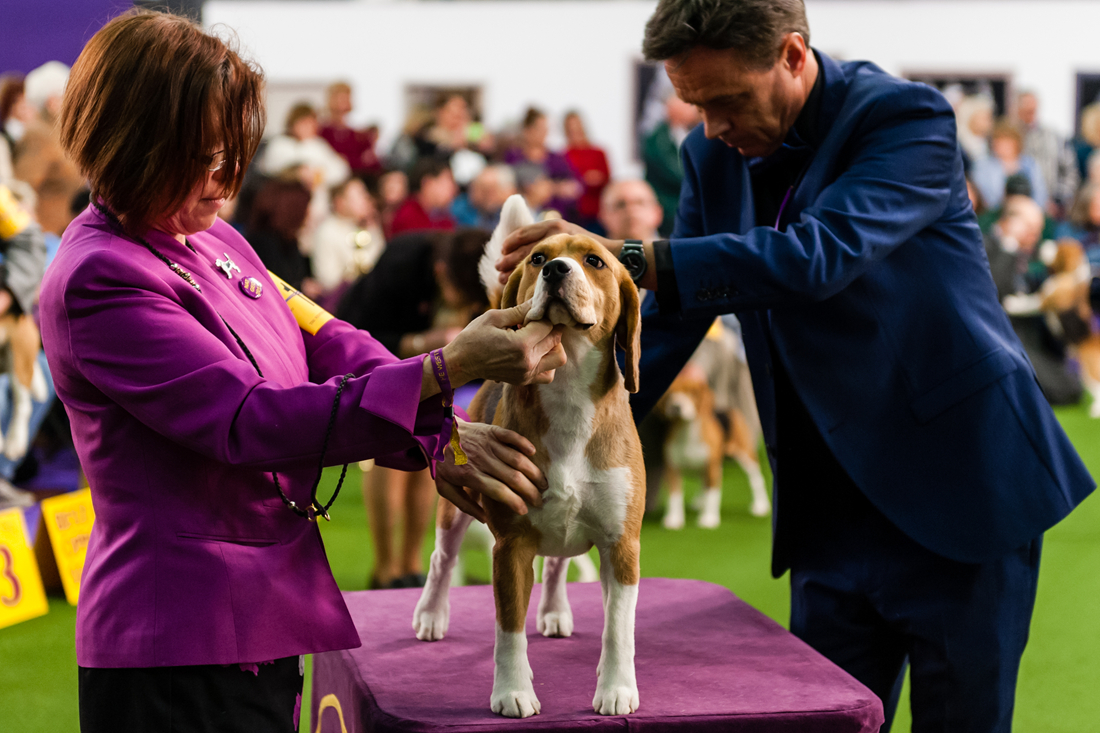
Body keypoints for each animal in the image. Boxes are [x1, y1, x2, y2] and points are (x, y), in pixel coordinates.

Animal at [413, 193, 642, 713]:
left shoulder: (622, 545)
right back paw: (431, 614)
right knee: (442, 561)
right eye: (538, 258)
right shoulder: (511, 544)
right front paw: (513, 692)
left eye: (594, 261)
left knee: (557, 563)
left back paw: (555, 610)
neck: (570, 390)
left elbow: (618, 629)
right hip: (454, 517)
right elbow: (508, 629)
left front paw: (617, 689)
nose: (555, 270)